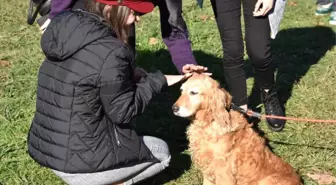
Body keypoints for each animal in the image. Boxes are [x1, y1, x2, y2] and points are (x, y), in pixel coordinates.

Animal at [172, 73, 300, 185]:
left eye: (193, 92)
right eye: (181, 91)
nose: (174, 108)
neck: (210, 122)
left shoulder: (223, 172)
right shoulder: (208, 168)